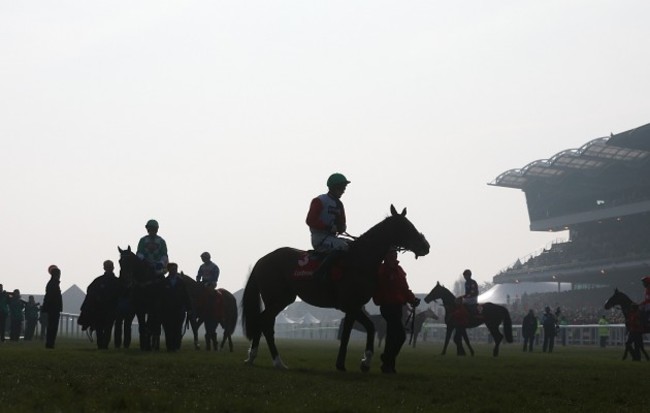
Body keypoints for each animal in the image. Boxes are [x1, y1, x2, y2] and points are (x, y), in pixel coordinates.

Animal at [240, 206, 428, 370]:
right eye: (406, 227)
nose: (426, 246)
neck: (360, 260)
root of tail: (262, 260)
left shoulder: (354, 307)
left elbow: (350, 333)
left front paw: (347, 363)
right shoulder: (350, 305)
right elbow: (365, 329)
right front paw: (362, 362)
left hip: (279, 300)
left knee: (262, 321)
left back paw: (252, 357)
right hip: (278, 299)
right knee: (265, 322)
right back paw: (278, 362)